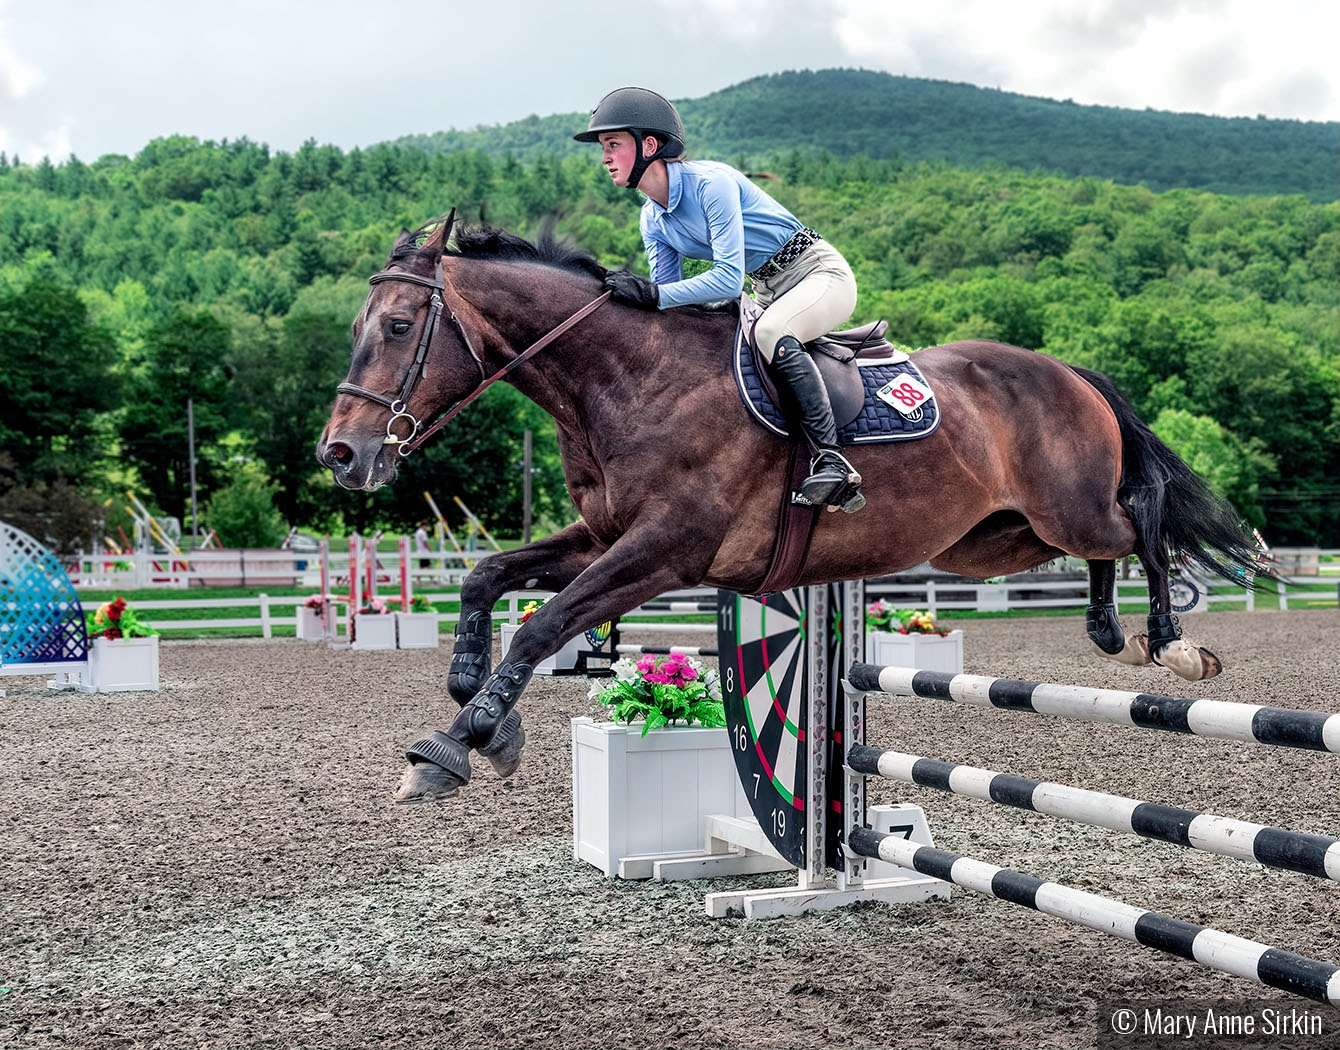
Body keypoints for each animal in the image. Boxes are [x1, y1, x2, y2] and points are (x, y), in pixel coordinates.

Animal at [316, 212, 1264, 803]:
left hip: (1062, 510)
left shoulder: (665, 549)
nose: (342, 455)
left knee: (1141, 518)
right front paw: (480, 706)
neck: (622, 380)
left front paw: (457, 745)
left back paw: (1172, 644)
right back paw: (1113, 634)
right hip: (994, 539)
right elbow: (488, 576)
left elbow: (545, 625)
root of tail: (1070, 371)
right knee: (1107, 545)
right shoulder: (607, 534)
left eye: (398, 327)